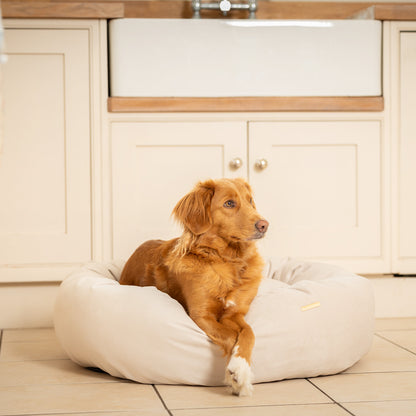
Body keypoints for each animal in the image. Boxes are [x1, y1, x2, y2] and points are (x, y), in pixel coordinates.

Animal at [119, 177, 270, 394]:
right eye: (229, 203)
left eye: (250, 201)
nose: (264, 225)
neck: (226, 260)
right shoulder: (201, 315)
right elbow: (231, 336)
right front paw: (236, 374)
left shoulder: (235, 314)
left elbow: (249, 333)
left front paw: (241, 368)